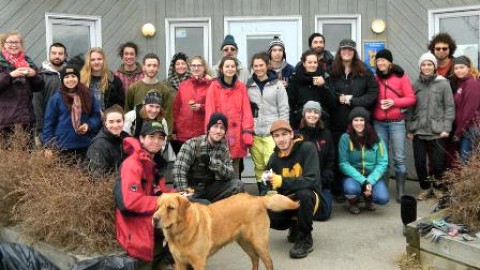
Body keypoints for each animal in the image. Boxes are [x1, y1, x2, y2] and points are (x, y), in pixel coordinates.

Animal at [152, 193, 298, 268]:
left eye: (170, 208)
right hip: (244, 242)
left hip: (259, 242)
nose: (154, 219)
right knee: (255, 259)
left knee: (268, 262)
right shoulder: (179, 263)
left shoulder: (199, 262)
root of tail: (257, 198)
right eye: (158, 207)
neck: (181, 231)